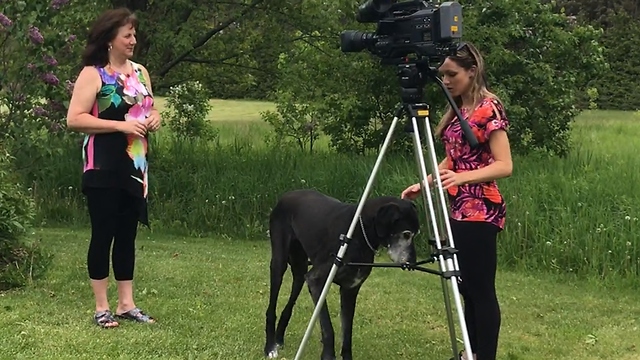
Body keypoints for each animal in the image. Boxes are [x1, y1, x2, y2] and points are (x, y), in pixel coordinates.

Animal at [262, 188, 418, 360]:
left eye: (415, 233)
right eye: (406, 233)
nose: (413, 263)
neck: (359, 232)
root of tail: (287, 194)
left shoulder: (350, 289)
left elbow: (347, 333)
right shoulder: (316, 282)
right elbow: (328, 328)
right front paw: (328, 356)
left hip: (300, 270)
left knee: (289, 304)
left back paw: (278, 338)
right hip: (279, 264)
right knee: (271, 308)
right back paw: (270, 347)